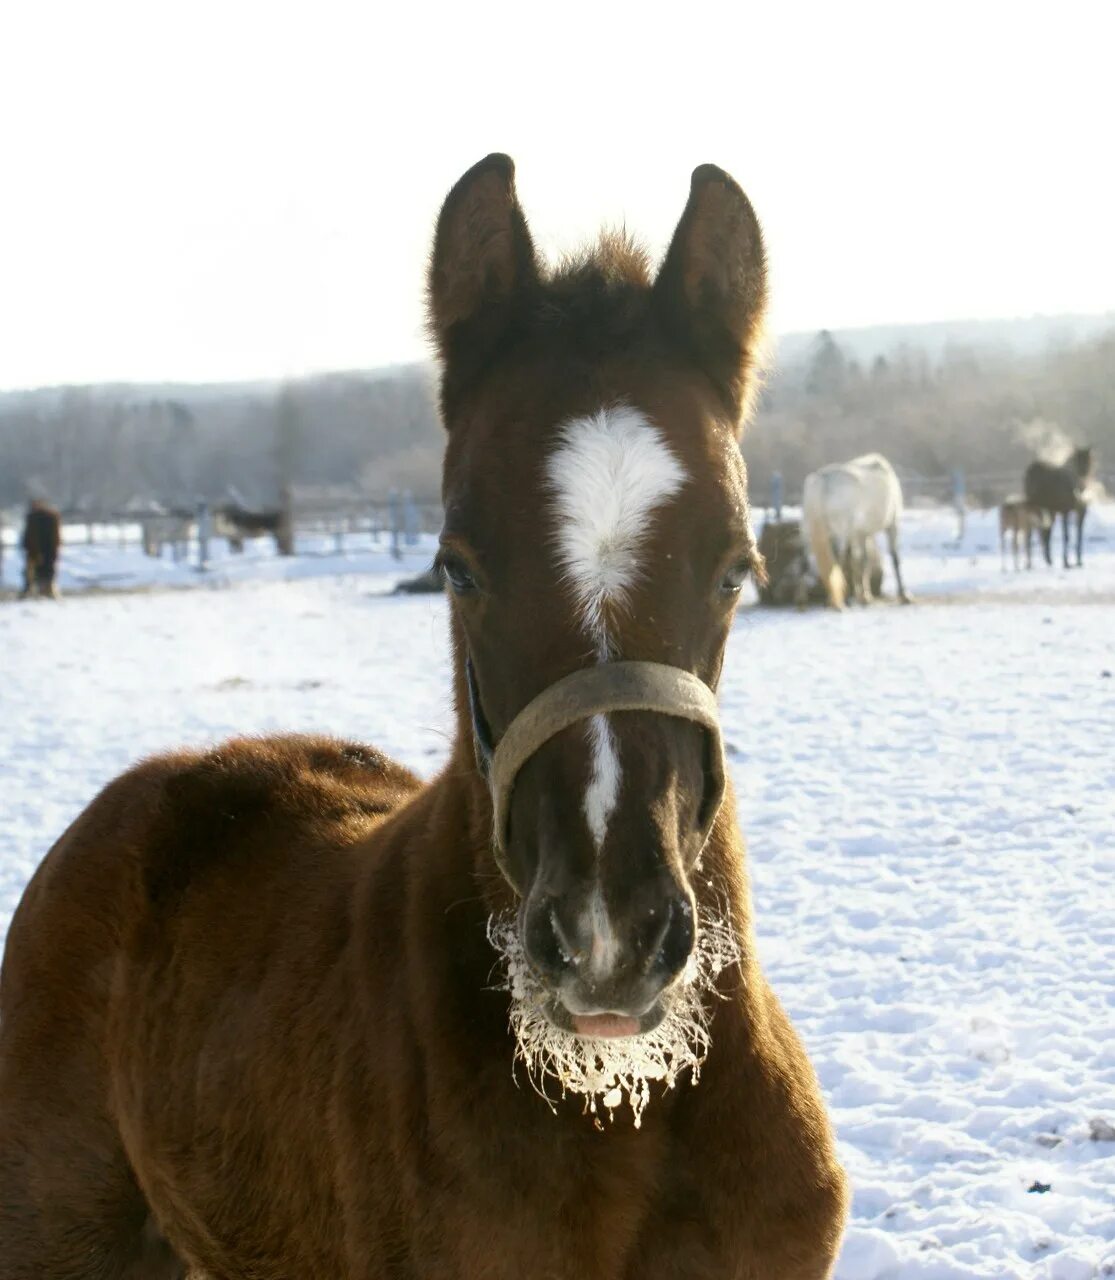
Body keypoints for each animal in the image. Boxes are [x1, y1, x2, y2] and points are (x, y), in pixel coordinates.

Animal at [809, 453, 911, 606]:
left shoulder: (860, 534)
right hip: (841, 535)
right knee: (838, 561)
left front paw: (861, 594)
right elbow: (894, 558)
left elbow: (859, 561)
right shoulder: (892, 525)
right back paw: (841, 600)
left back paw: (837, 599)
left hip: (831, 535)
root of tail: (824, 480)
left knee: (836, 562)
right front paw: (903, 595)